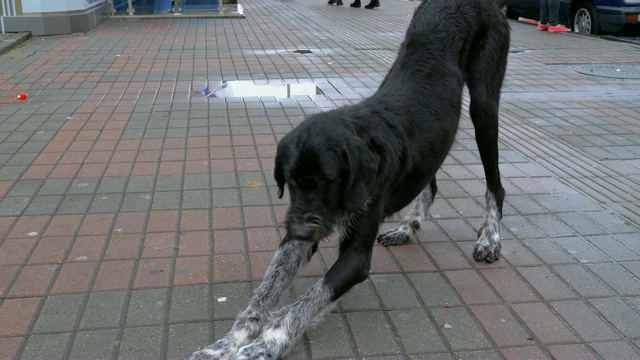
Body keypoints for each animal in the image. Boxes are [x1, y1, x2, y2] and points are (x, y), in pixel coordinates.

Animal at [190, 1, 510, 358]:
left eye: (329, 181)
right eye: (290, 181)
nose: (300, 230)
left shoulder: (355, 258)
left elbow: (305, 302)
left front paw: (264, 345)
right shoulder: (301, 230)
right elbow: (267, 291)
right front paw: (227, 343)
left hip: (484, 106)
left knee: (496, 186)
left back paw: (489, 238)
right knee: (432, 182)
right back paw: (406, 227)